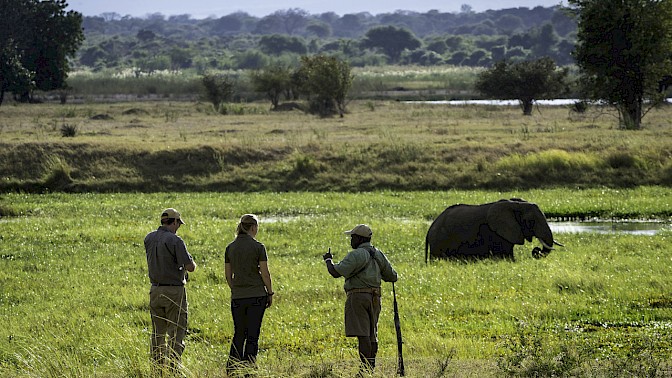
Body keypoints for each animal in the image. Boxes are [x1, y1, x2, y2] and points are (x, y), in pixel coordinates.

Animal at [426, 198, 560, 262]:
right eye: (531, 221)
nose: (536, 251)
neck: (515, 204)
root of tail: (429, 230)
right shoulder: (496, 233)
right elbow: (506, 256)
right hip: (440, 242)